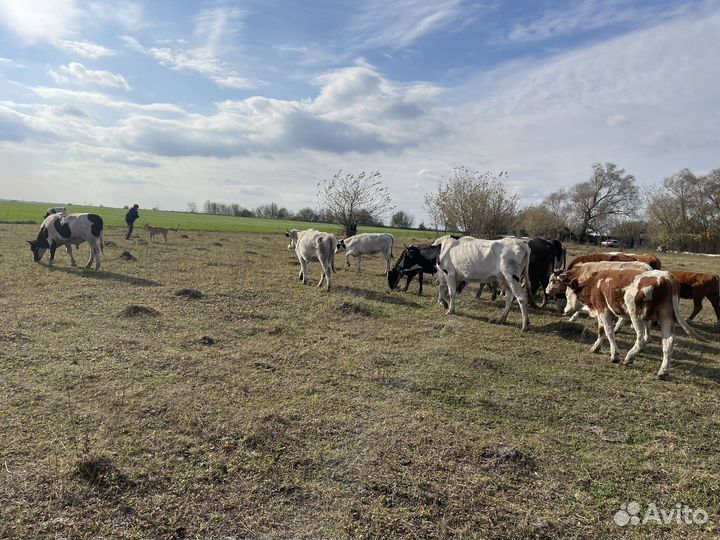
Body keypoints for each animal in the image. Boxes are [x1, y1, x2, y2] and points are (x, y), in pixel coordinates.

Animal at [557, 268, 701, 379]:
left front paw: (614, 355)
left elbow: (609, 331)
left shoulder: (603, 310)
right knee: (668, 342)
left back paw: (630, 357)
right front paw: (596, 347)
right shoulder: (602, 311)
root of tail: (666, 277)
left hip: (636, 315)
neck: (595, 283)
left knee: (642, 338)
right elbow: (601, 330)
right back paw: (663, 372)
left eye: (567, 294)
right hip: (666, 317)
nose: (565, 310)